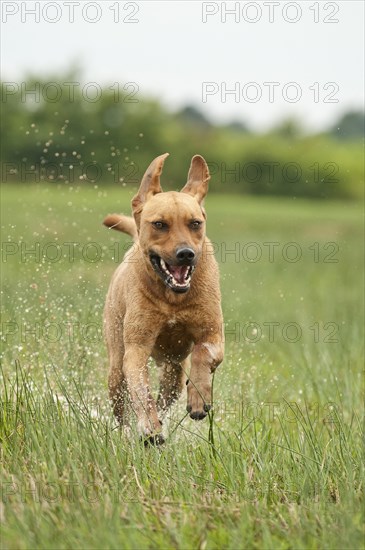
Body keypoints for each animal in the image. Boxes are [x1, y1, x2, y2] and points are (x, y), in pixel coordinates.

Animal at [101, 153, 222, 446]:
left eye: (195, 223)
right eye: (159, 224)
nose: (186, 253)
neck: (172, 299)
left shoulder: (213, 334)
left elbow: (203, 352)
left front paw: (199, 399)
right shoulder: (136, 349)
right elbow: (141, 392)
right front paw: (149, 428)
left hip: (173, 372)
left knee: (168, 394)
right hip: (115, 369)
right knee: (122, 407)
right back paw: (129, 435)